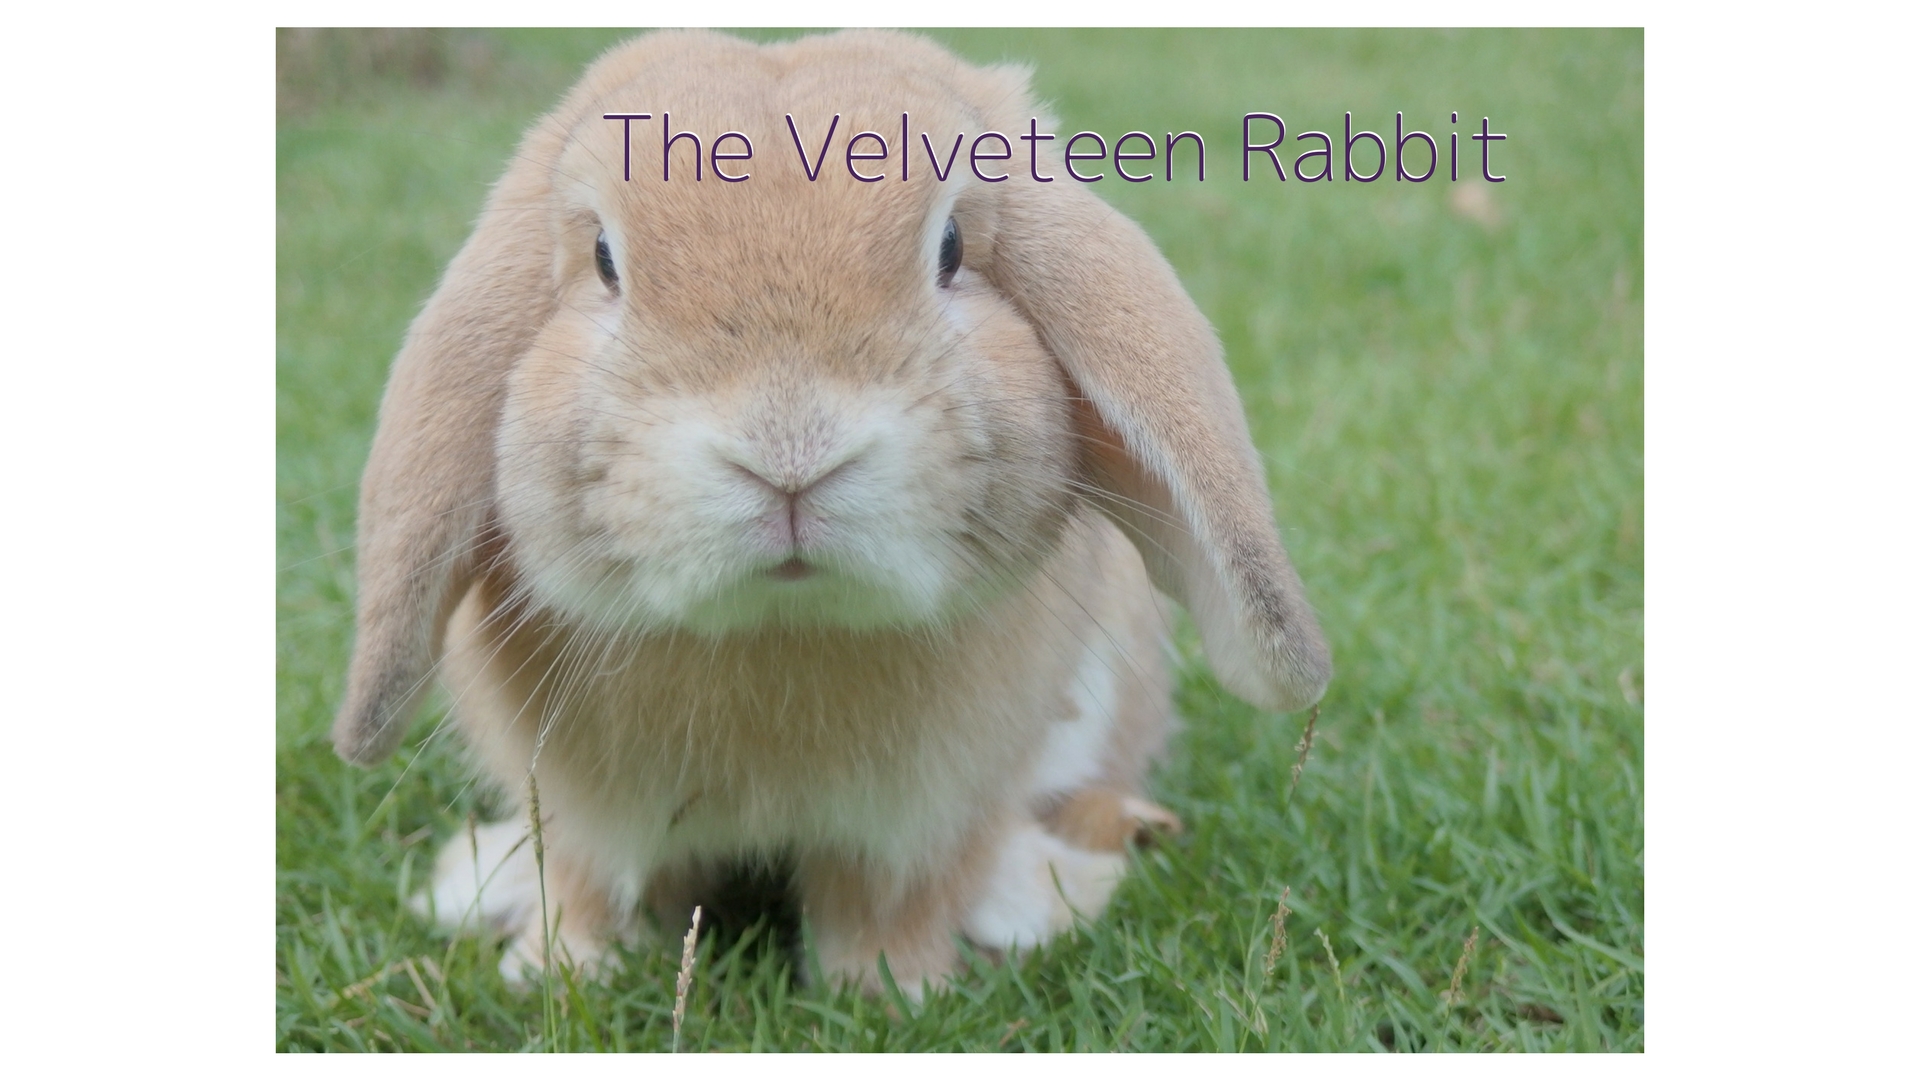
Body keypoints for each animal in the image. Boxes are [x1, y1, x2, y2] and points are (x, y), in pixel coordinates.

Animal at [332, 28, 1331, 997]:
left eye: (952, 247)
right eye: (606, 261)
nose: (789, 451)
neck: (781, 627)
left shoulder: (921, 822)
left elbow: (887, 903)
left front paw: (892, 991)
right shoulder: (583, 816)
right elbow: (591, 888)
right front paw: (558, 973)